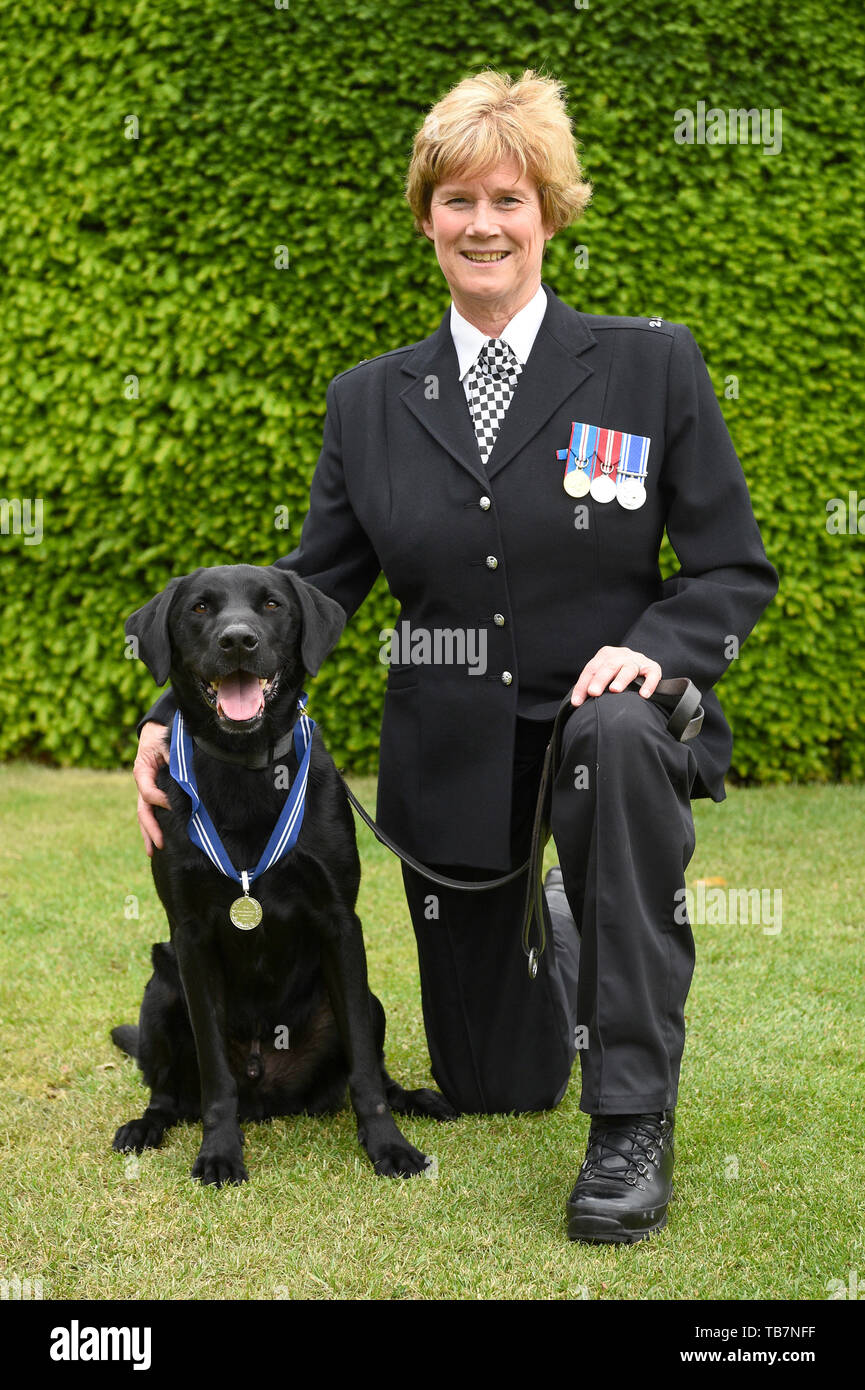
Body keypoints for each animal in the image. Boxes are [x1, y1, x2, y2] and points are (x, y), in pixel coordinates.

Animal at [111, 564, 458, 1184]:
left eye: (271, 605)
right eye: (200, 609)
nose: (237, 640)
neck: (247, 768)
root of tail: (266, 1094)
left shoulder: (339, 922)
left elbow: (364, 1071)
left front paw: (388, 1146)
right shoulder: (189, 936)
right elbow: (214, 1076)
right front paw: (219, 1152)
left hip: (367, 1002)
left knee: (370, 1069)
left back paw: (414, 1099)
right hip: (161, 989)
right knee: (168, 1093)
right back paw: (145, 1126)